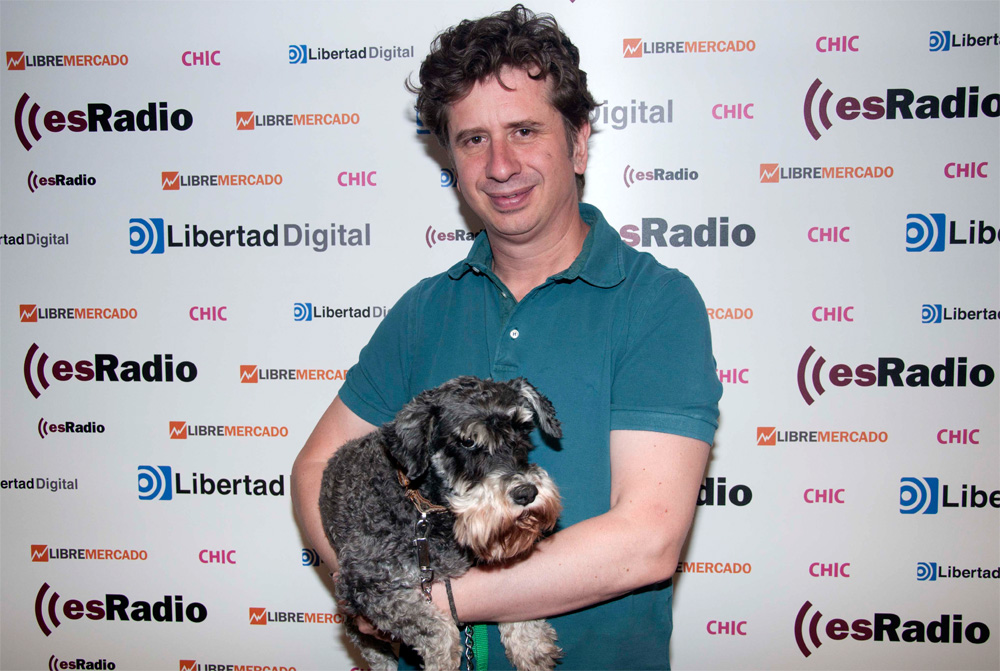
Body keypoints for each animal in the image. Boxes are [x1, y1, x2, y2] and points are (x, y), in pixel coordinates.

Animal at [319, 376, 563, 670]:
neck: (426, 510)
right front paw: (442, 661)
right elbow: (435, 629)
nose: (526, 493)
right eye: (467, 441)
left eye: (523, 429)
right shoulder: (366, 583)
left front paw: (530, 641)